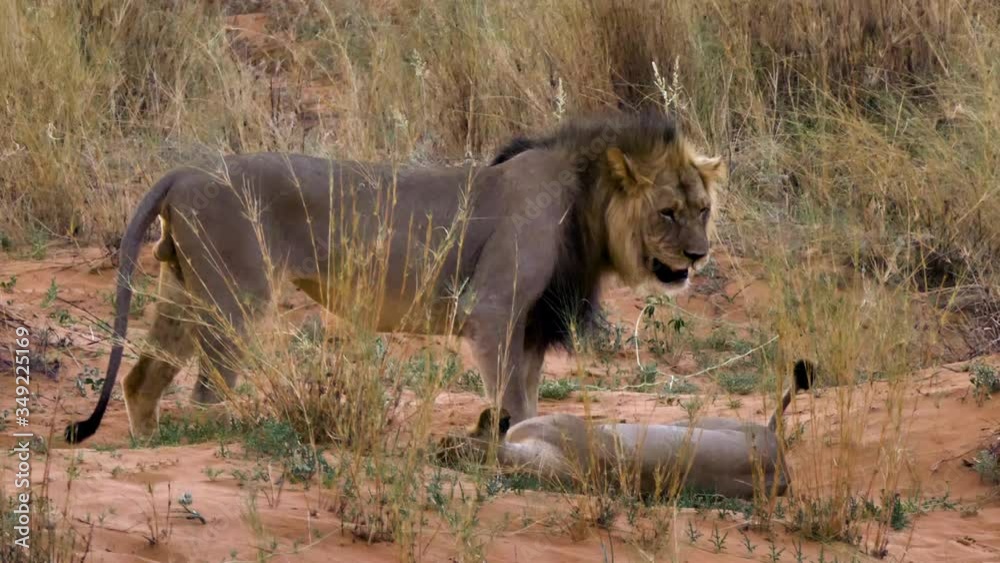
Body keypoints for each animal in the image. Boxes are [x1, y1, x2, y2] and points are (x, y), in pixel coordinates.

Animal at [65, 111, 726, 443]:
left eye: (703, 209)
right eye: (667, 212)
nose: (698, 257)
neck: (588, 204)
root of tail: (184, 172)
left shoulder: (534, 323)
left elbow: (530, 395)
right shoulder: (492, 310)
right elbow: (512, 398)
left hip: (184, 290)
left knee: (142, 380)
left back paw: (150, 445)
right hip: (236, 296)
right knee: (207, 390)